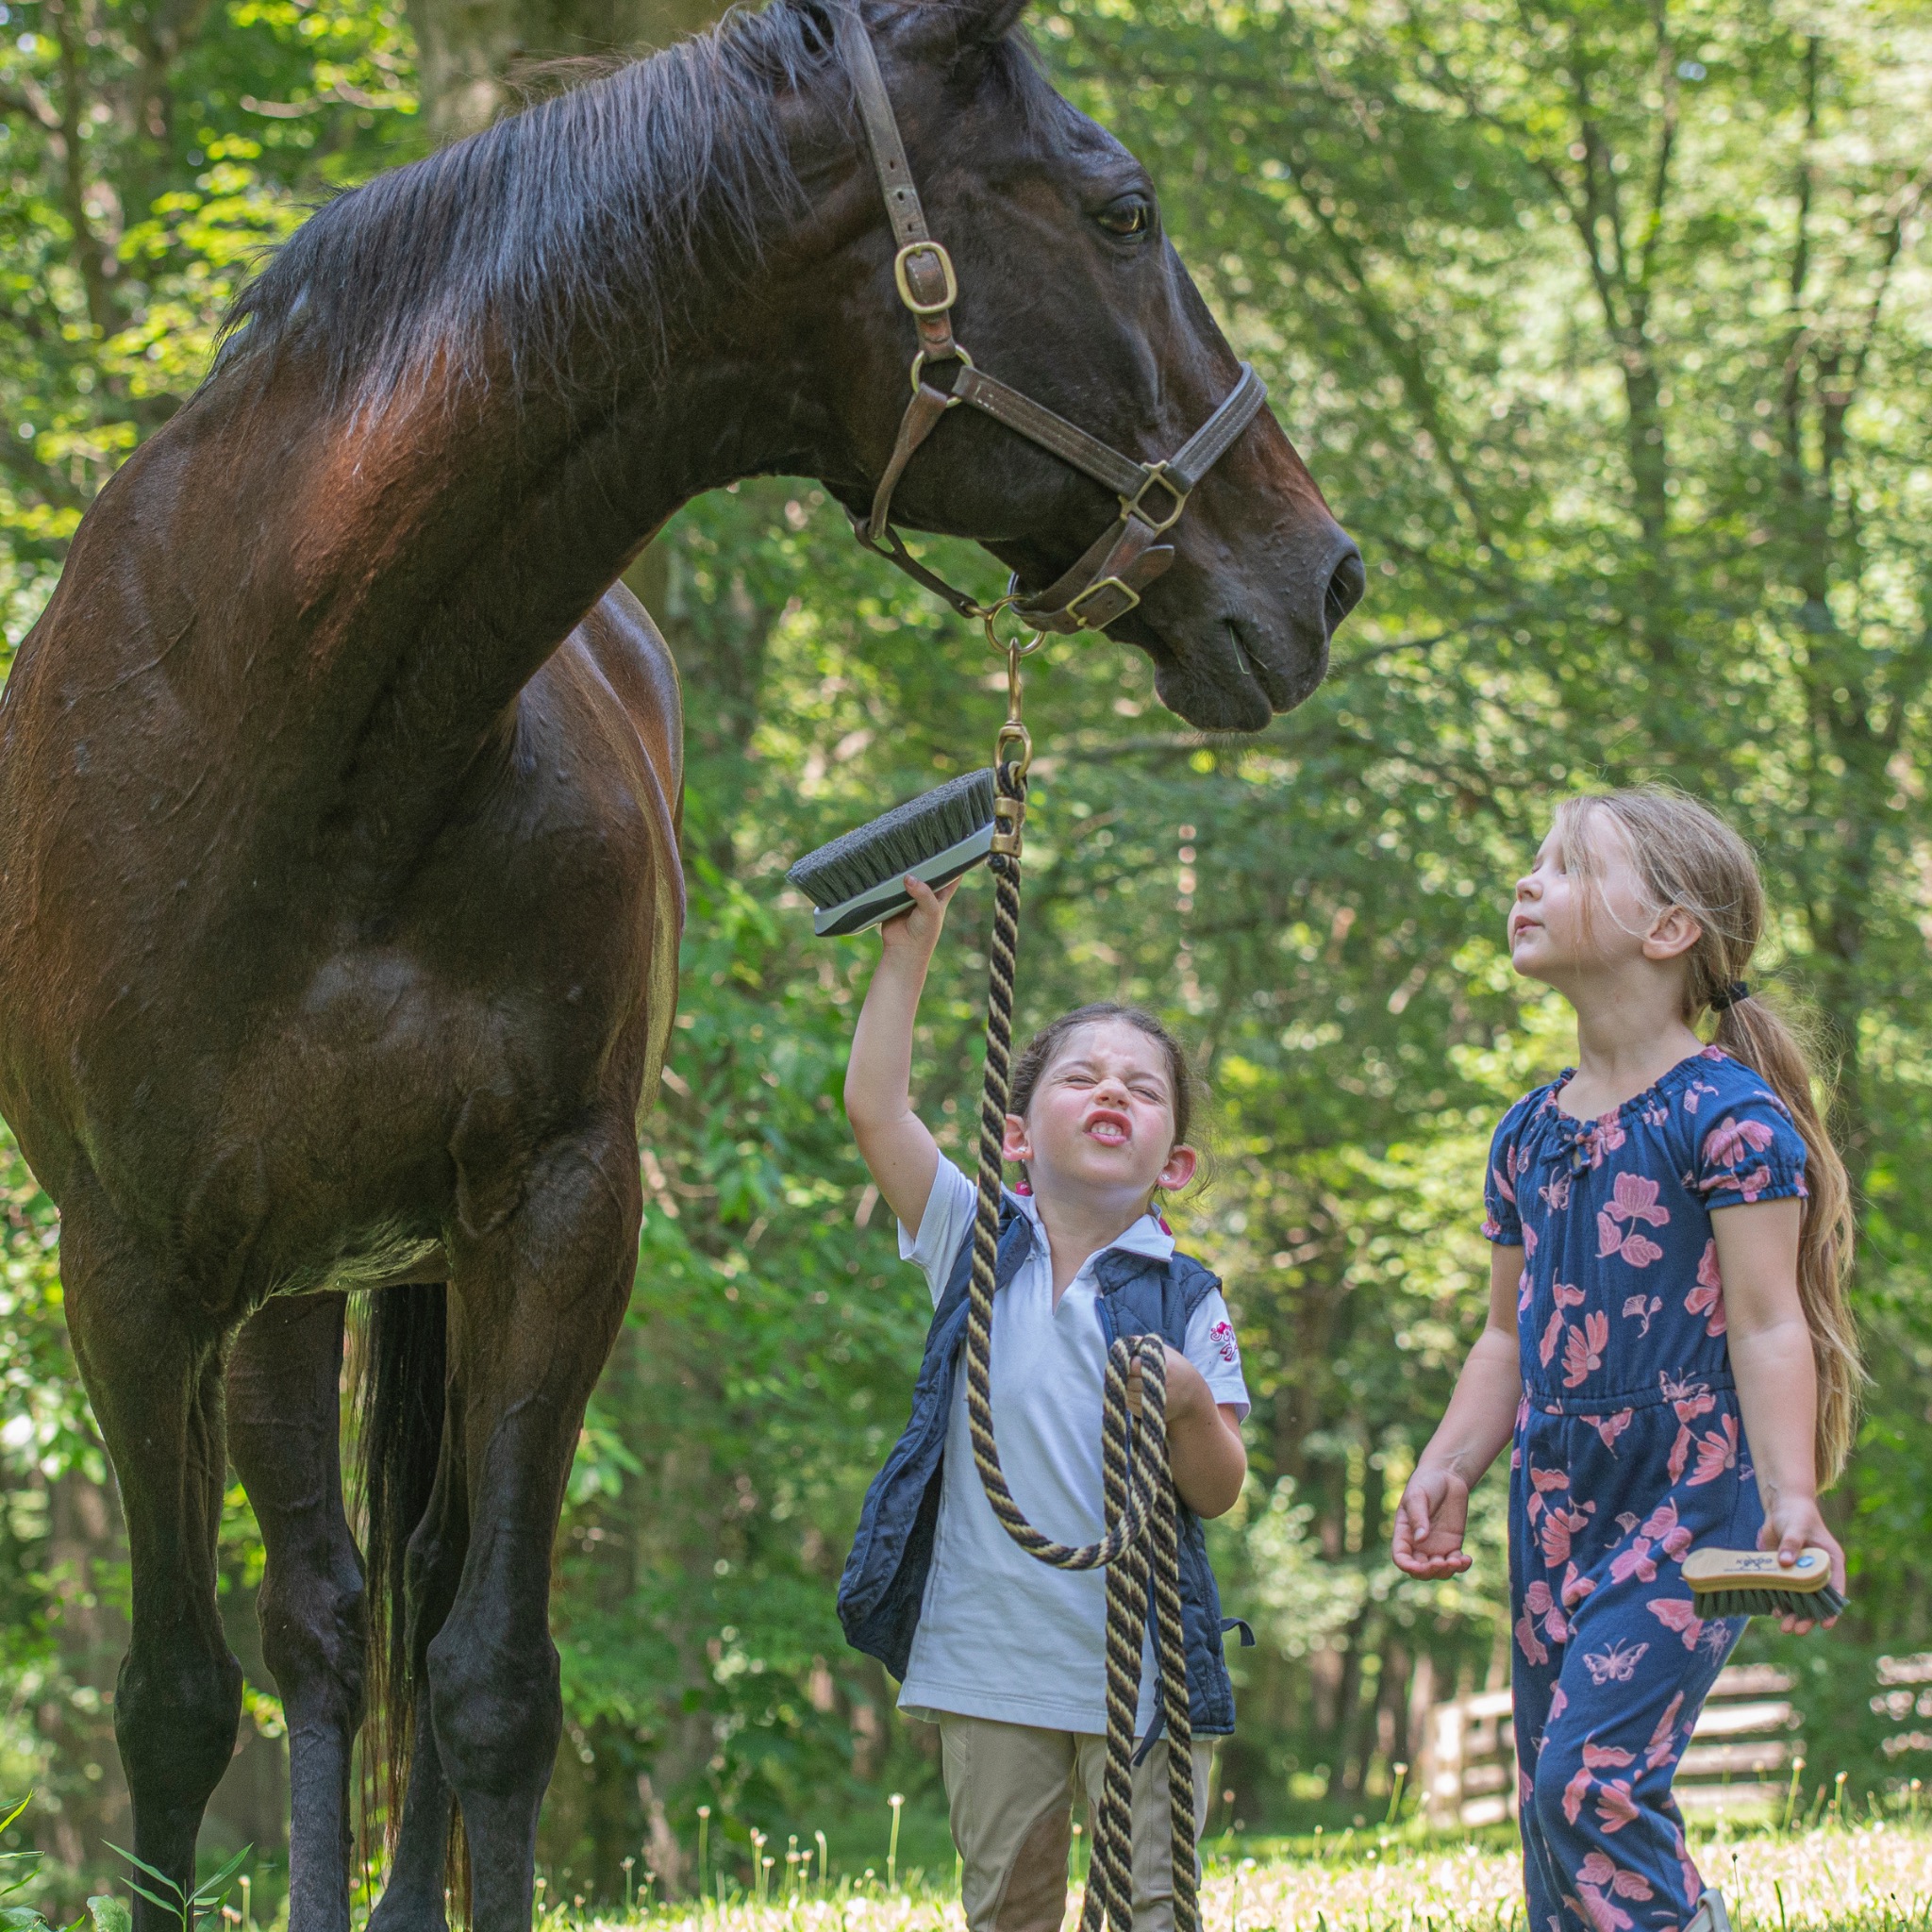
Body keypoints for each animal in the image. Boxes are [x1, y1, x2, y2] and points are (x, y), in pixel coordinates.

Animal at [0, 3, 1362, 1928]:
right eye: (1122, 211)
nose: (1320, 574)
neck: (292, 730)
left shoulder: (563, 1221)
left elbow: (492, 1680)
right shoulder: (126, 1273)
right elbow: (177, 1704)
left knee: (403, 1596)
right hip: (276, 1292)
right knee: (322, 1622)